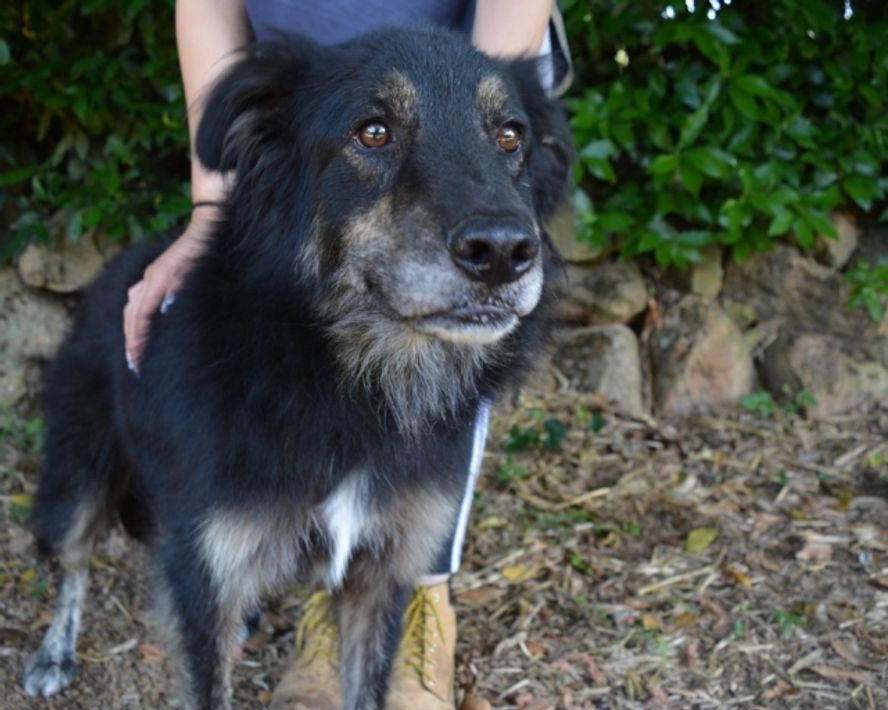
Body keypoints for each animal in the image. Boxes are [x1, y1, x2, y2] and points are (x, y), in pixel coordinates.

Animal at [23, 26, 571, 710]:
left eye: (510, 136)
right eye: (373, 131)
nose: (502, 252)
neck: (345, 386)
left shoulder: (381, 575)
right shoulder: (204, 581)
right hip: (76, 478)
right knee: (72, 563)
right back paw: (53, 652)